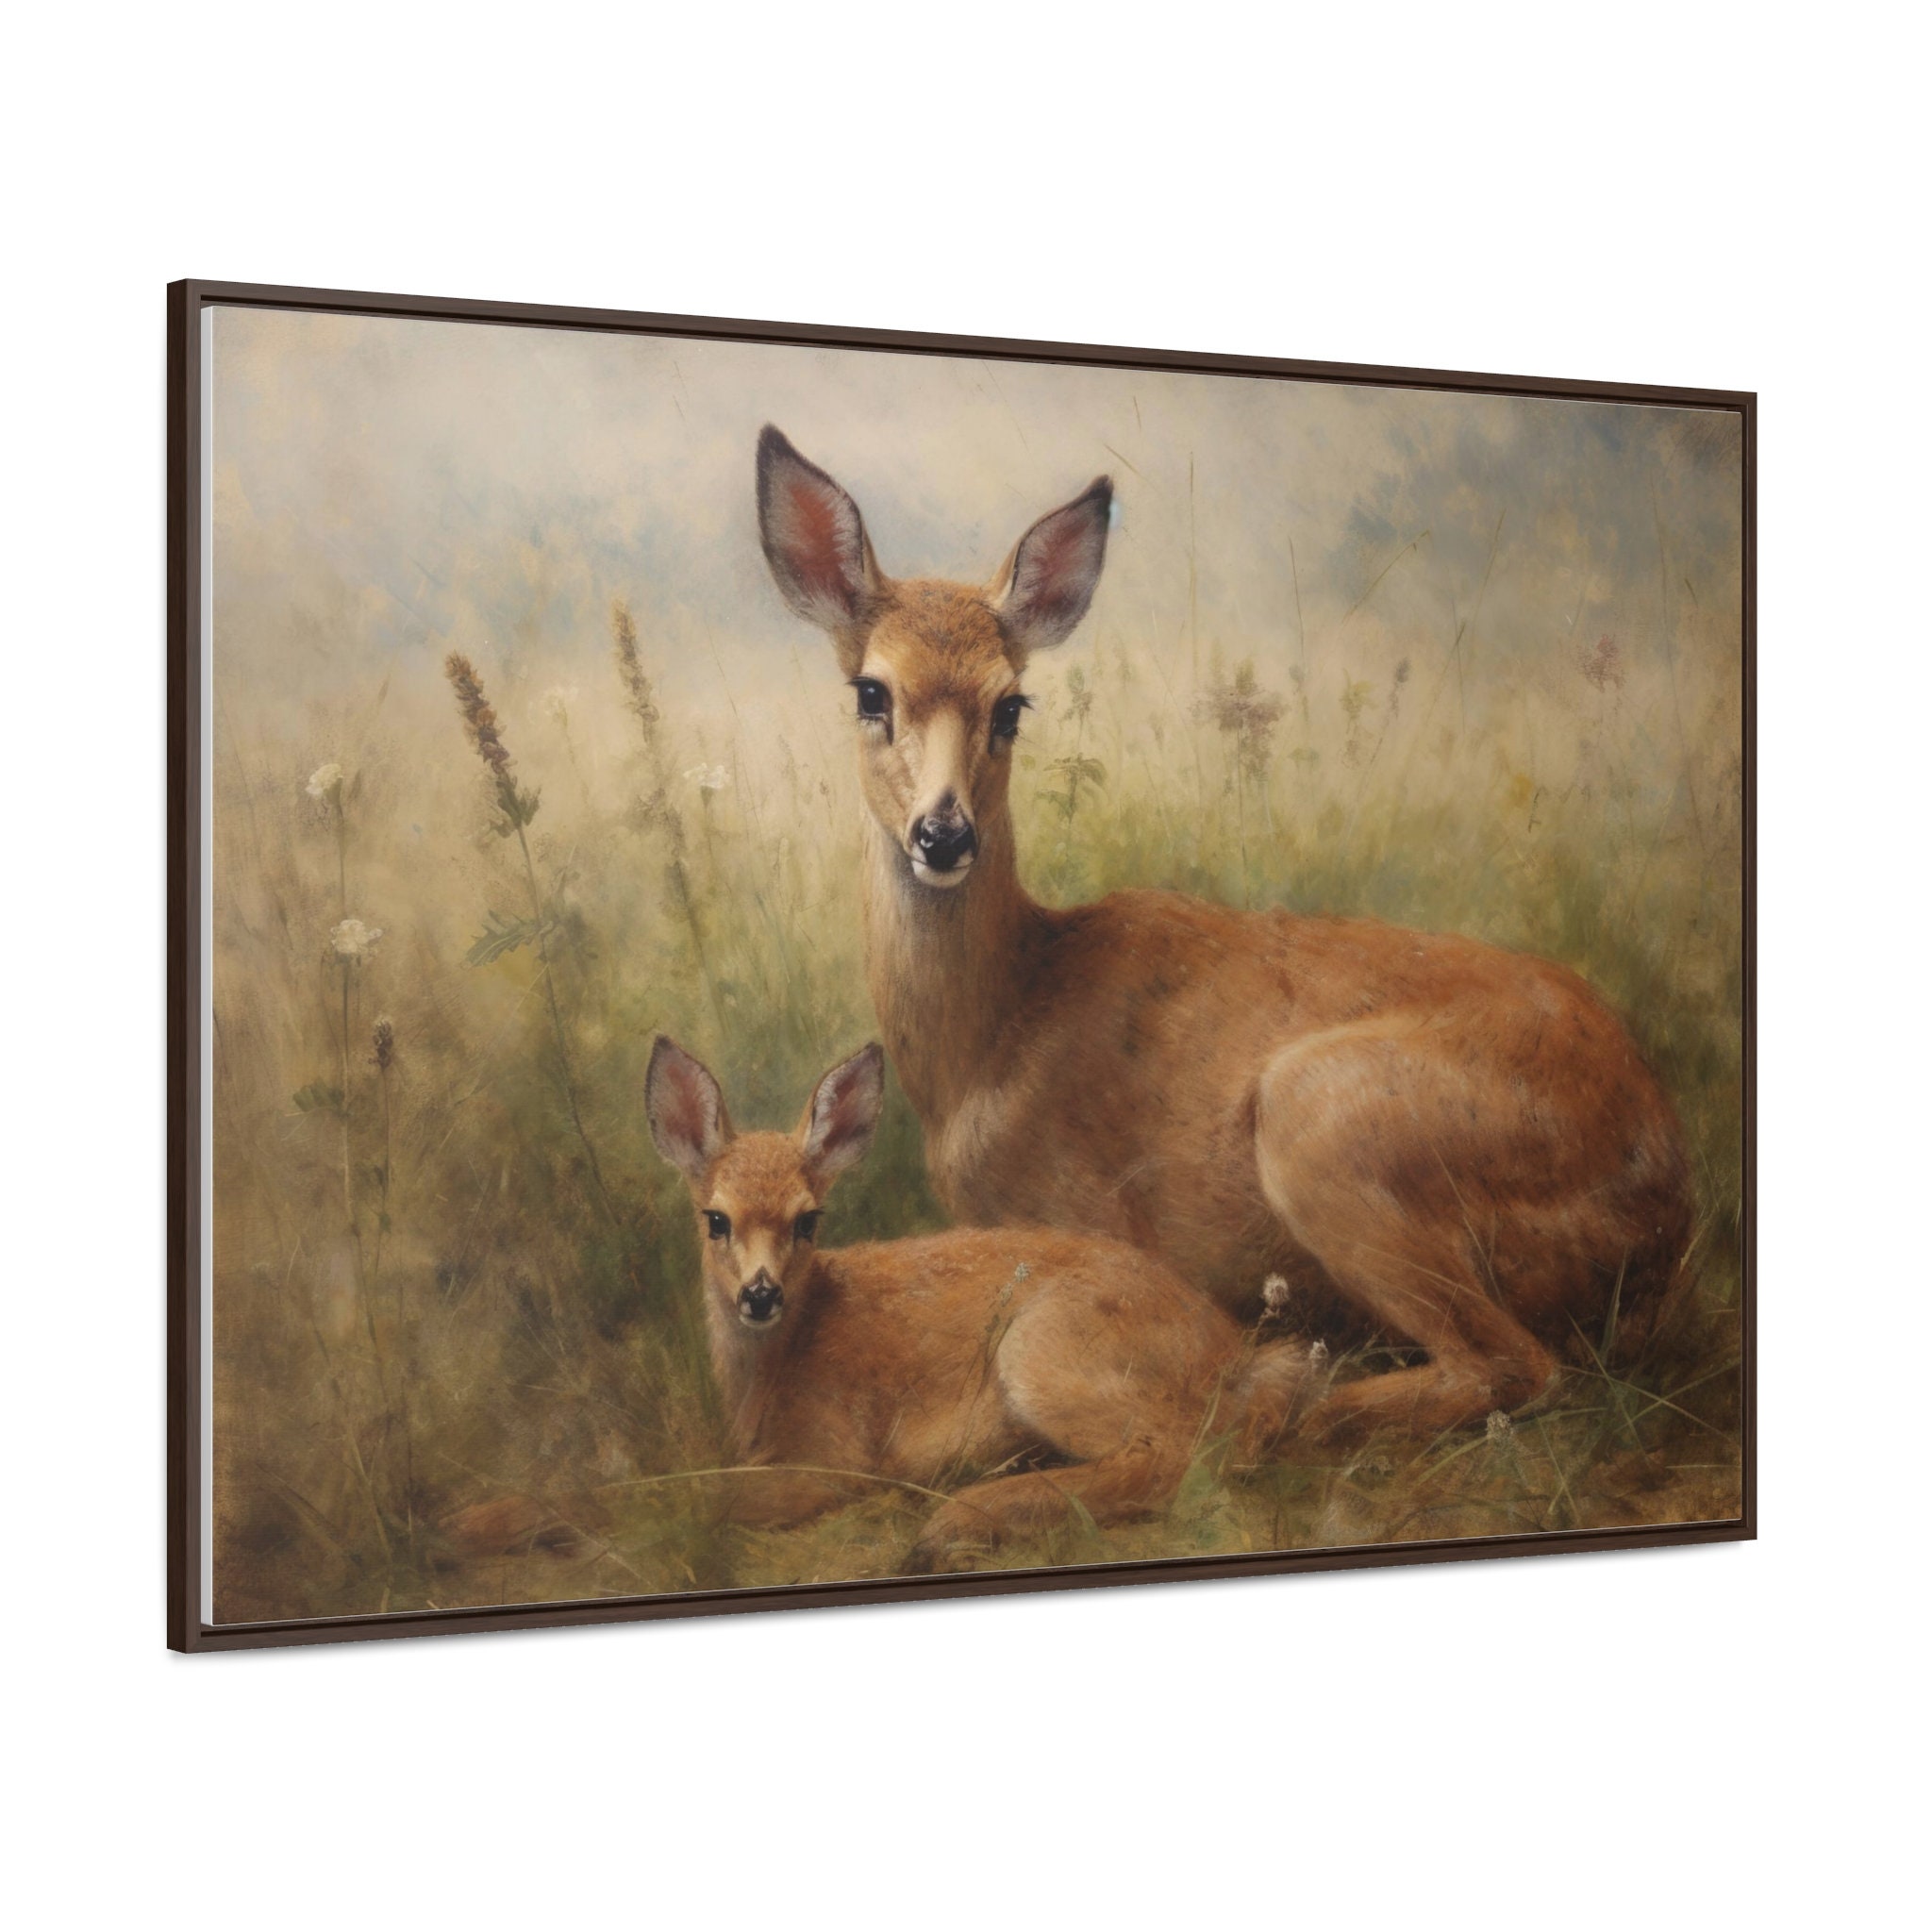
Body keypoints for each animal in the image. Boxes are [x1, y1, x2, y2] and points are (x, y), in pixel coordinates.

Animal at [644, 1036, 1321, 1572]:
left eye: (808, 1220)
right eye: (715, 1219)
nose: (761, 1294)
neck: (774, 1373)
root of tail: (1232, 1355)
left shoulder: (838, 1455)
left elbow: (708, 1500)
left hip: (1043, 1351)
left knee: (1190, 1456)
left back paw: (953, 1526)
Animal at [753, 425, 1695, 1445]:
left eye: (1010, 705)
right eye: (869, 692)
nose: (943, 833)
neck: (999, 1032)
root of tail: (1669, 1199)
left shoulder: (1099, 1223)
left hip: (1322, 1116)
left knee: (1506, 1365)